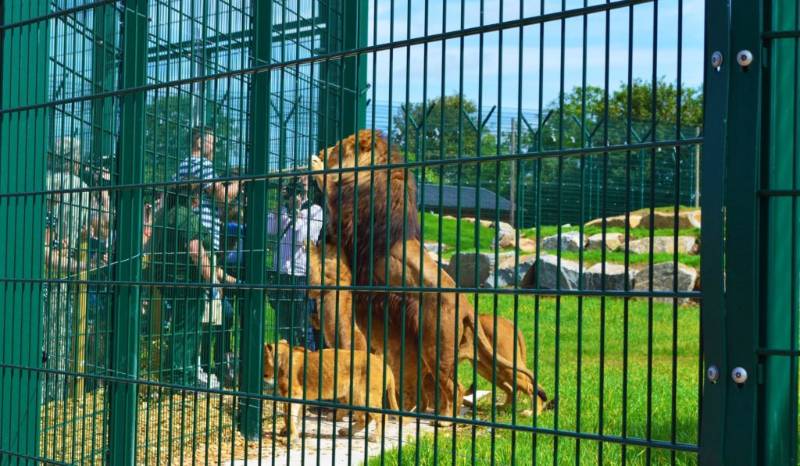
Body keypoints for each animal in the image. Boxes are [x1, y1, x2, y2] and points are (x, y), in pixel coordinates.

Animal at [262, 340, 400, 442]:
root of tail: (385, 364)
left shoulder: (293, 393)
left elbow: (289, 416)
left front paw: (291, 437)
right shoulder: (299, 396)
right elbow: (297, 416)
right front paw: (288, 431)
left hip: (365, 395)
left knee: (381, 415)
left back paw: (375, 437)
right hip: (355, 397)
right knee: (364, 418)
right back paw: (346, 431)